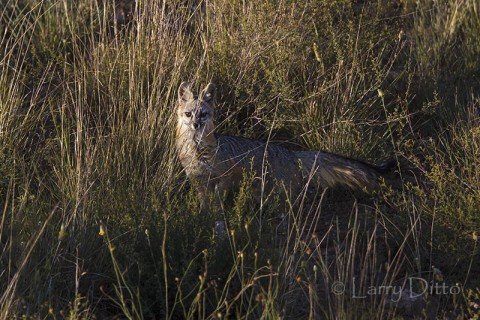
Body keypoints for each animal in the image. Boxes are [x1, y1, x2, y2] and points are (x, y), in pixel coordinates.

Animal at [176, 82, 394, 210]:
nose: (195, 124)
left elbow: (218, 203)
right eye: (188, 114)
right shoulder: (199, 180)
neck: (198, 150)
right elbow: (205, 204)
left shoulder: (223, 178)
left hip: (275, 193)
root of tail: (291, 153)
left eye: (203, 114)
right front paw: (205, 216)